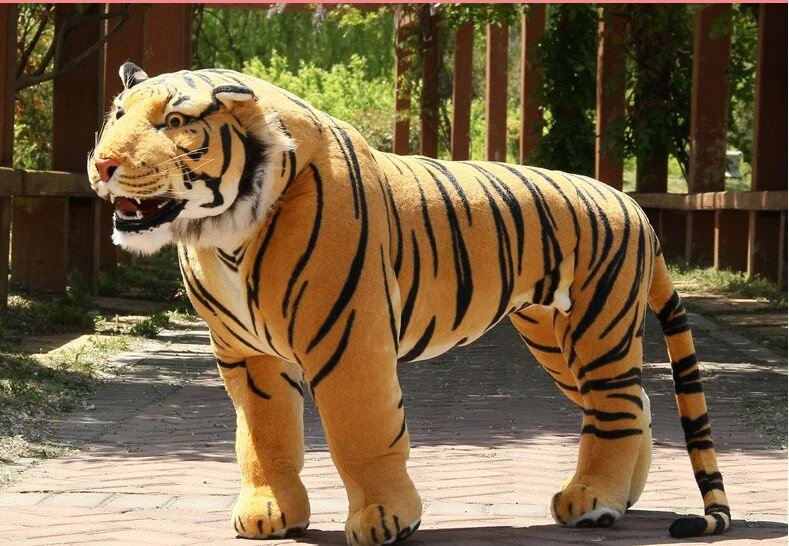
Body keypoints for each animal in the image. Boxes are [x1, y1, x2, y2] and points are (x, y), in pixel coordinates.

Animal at [88, 62, 731, 545]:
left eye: (174, 122)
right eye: (116, 117)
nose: (102, 165)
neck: (223, 232)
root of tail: (635, 206)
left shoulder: (347, 337)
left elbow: (362, 431)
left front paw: (385, 519)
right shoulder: (250, 356)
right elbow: (263, 439)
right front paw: (272, 513)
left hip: (597, 326)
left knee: (618, 407)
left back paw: (594, 501)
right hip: (554, 337)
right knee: (634, 403)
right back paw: (622, 498)